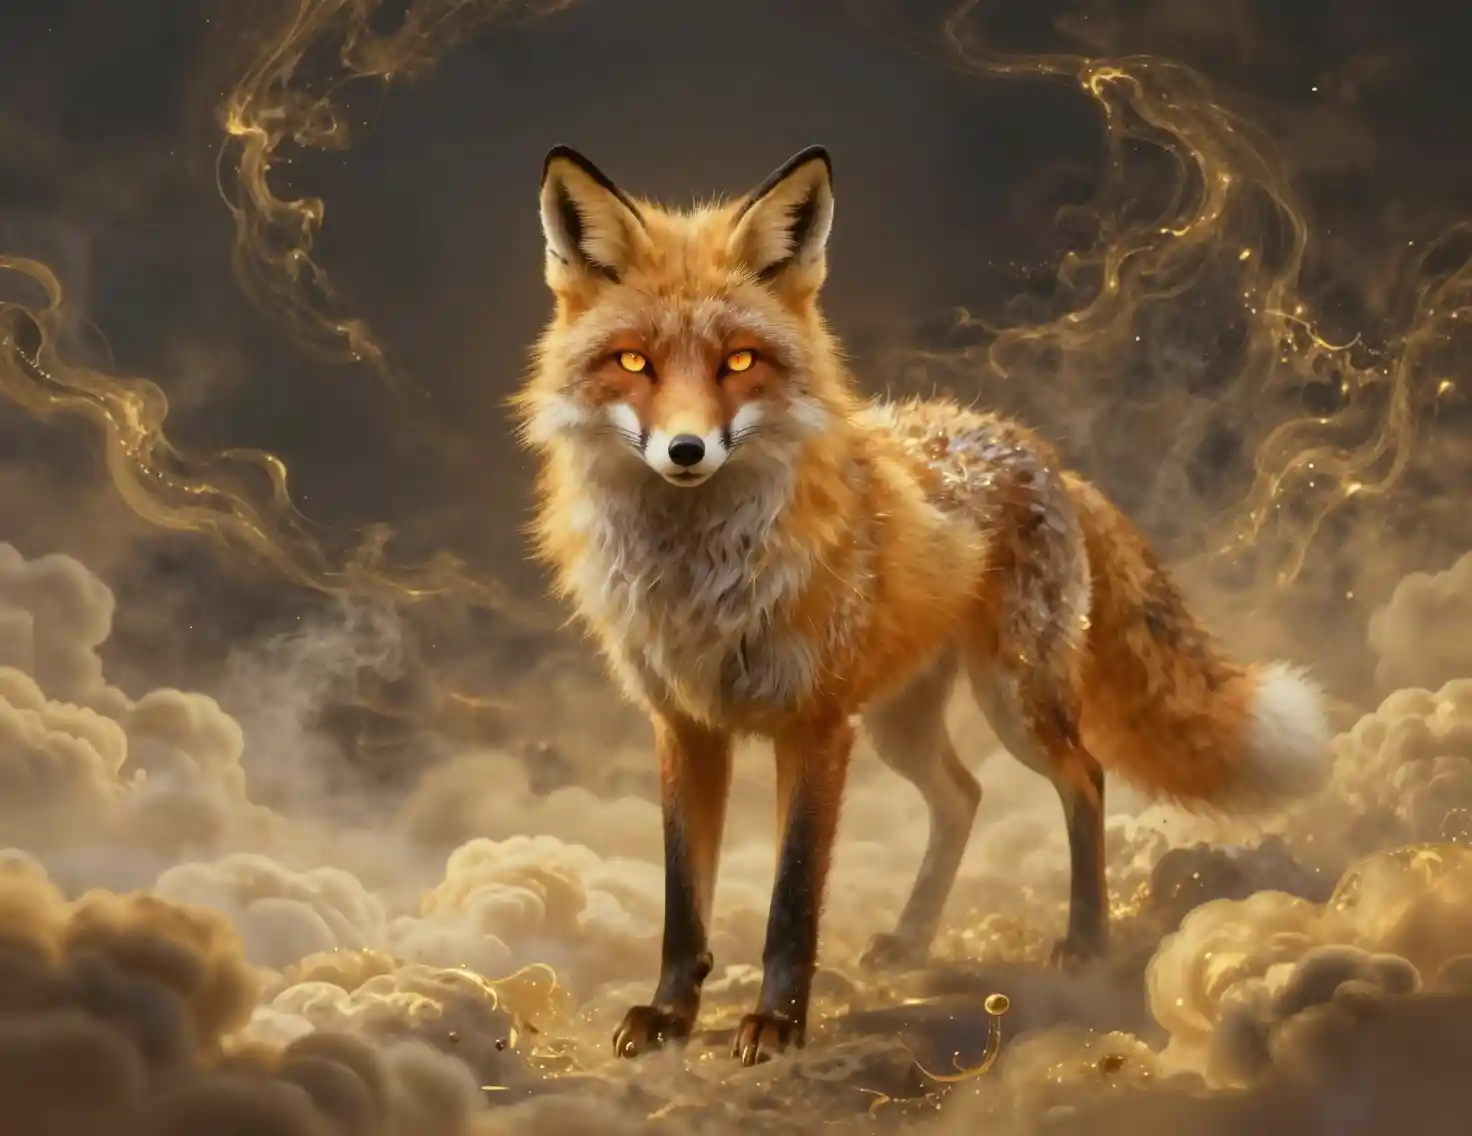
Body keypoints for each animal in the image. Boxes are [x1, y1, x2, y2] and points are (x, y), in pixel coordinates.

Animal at [511, 144, 1333, 1067]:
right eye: (633, 362)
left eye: (739, 362)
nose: (685, 450)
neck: (699, 574)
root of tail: (1040, 452)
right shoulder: (685, 725)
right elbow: (683, 900)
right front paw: (670, 1014)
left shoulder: (816, 725)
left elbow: (792, 897)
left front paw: (778, 1022)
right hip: (901, 723)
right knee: (962, 796)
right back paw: (911, 939)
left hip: (1012, 702)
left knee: (1083, 778)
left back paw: (1085, 940)